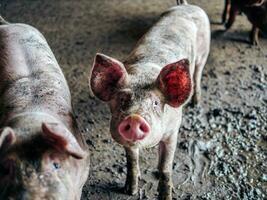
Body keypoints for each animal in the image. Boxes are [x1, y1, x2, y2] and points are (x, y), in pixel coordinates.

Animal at [89, 0, 210, 199]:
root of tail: (186, 5)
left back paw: (196, 103)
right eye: (122, 99)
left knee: (198, 73)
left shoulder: (173, 131)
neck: (144, 73)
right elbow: (131, 160)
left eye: (155, 103)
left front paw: (166, 195)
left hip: (203, 52)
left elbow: (165, 168)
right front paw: (129, 191)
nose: (134, 118)